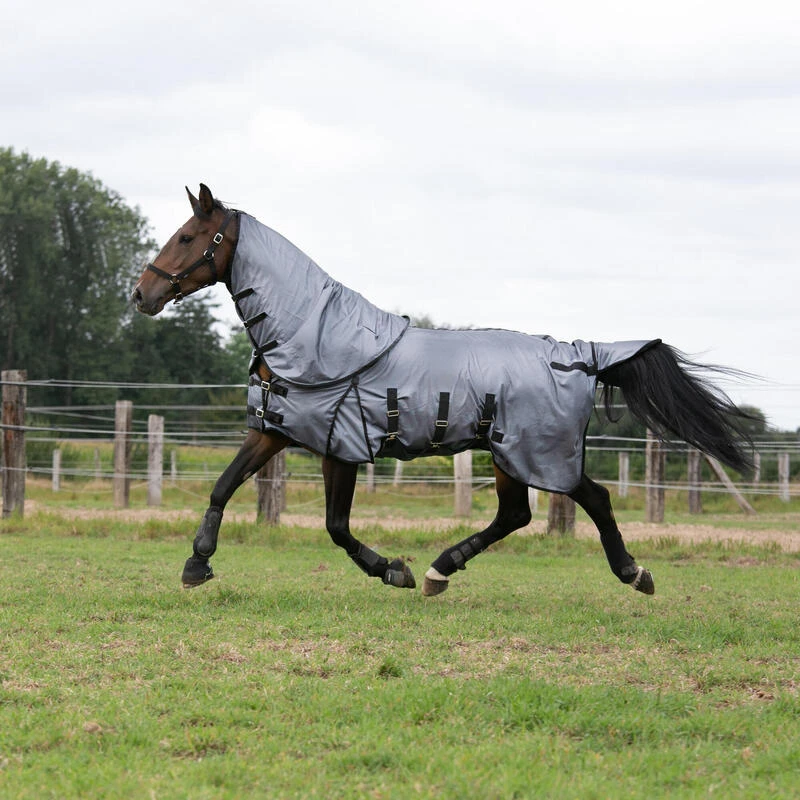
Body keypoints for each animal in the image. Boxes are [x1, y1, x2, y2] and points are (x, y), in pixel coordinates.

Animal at [131, 184, 754, 598]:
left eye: (188, 236)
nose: (141, 295)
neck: (313, 334)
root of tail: (579, 353)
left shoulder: (340, 445)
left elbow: (336, 526)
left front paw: (392, 569)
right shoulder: (278, 431)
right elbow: (223, 486)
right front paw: (196, 565)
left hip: (536, 453)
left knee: (590, 499)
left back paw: (632, 572)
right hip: (507, 454)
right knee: (514, 516)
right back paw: (441, 570)